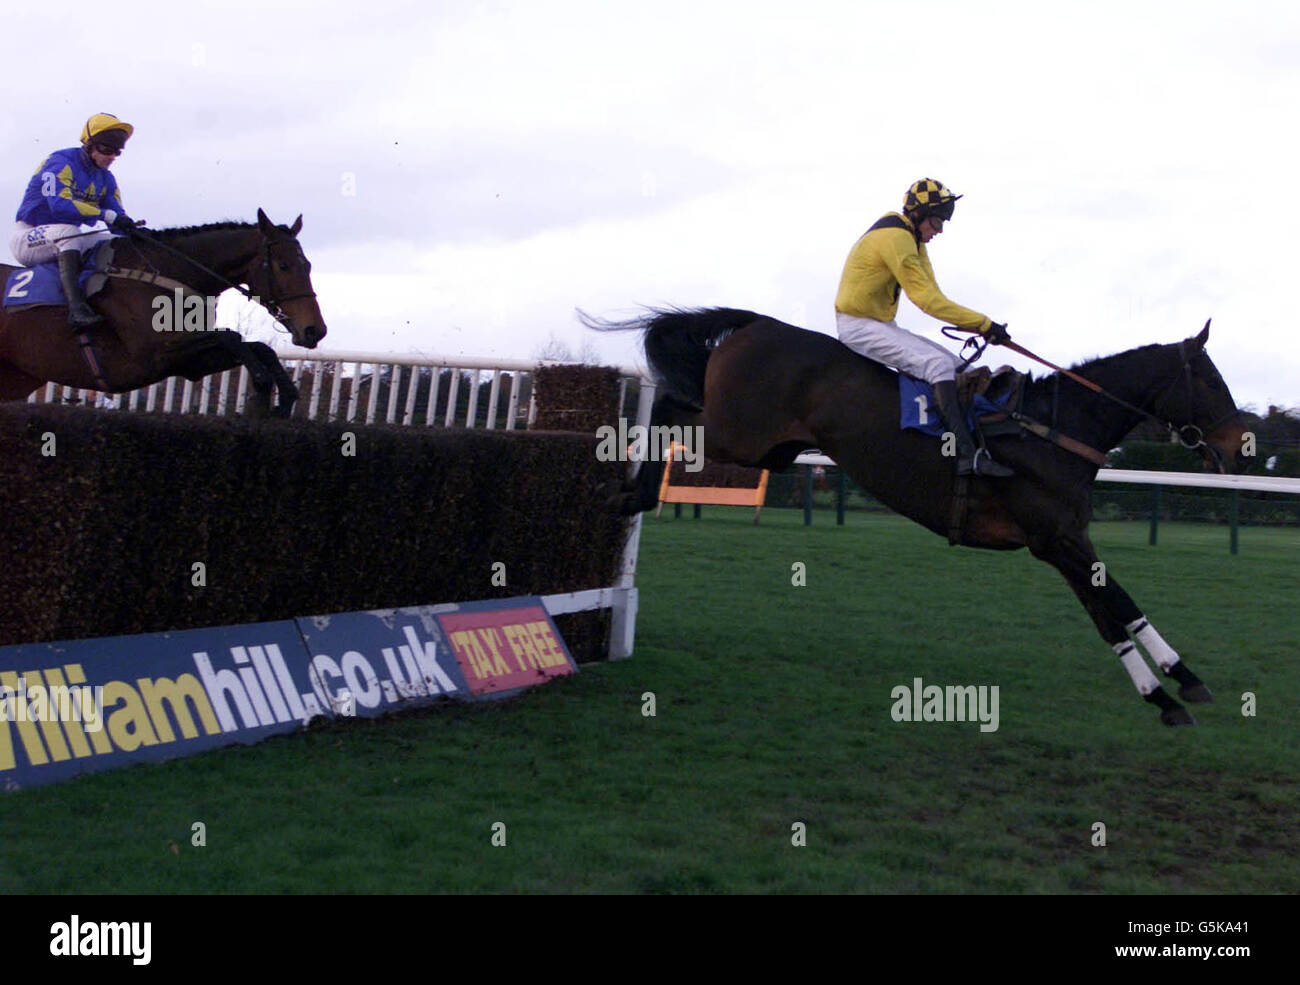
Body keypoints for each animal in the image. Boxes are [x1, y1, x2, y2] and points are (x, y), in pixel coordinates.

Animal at [0, 210, 325, 418]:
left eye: (308, 265)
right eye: (283, 265)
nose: (315, 330)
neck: (165, 275)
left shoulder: (189, 364)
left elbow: (258, 347)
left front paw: (284, 398)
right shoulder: (154, 355)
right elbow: (232, 337)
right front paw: (261, 380)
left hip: (17, 379)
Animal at [595, 309, 1253, 727]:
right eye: (1212, 382)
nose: (1241, 444)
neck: (1050, 431)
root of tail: (757, 324)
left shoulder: (1068, 539)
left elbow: (1120, 608)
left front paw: (1181, 677)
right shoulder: (1055, 539)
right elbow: (1112, 613)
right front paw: (1162, 695)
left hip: (769, 448)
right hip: (741, 433)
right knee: (674, 409)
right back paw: (630, 492)